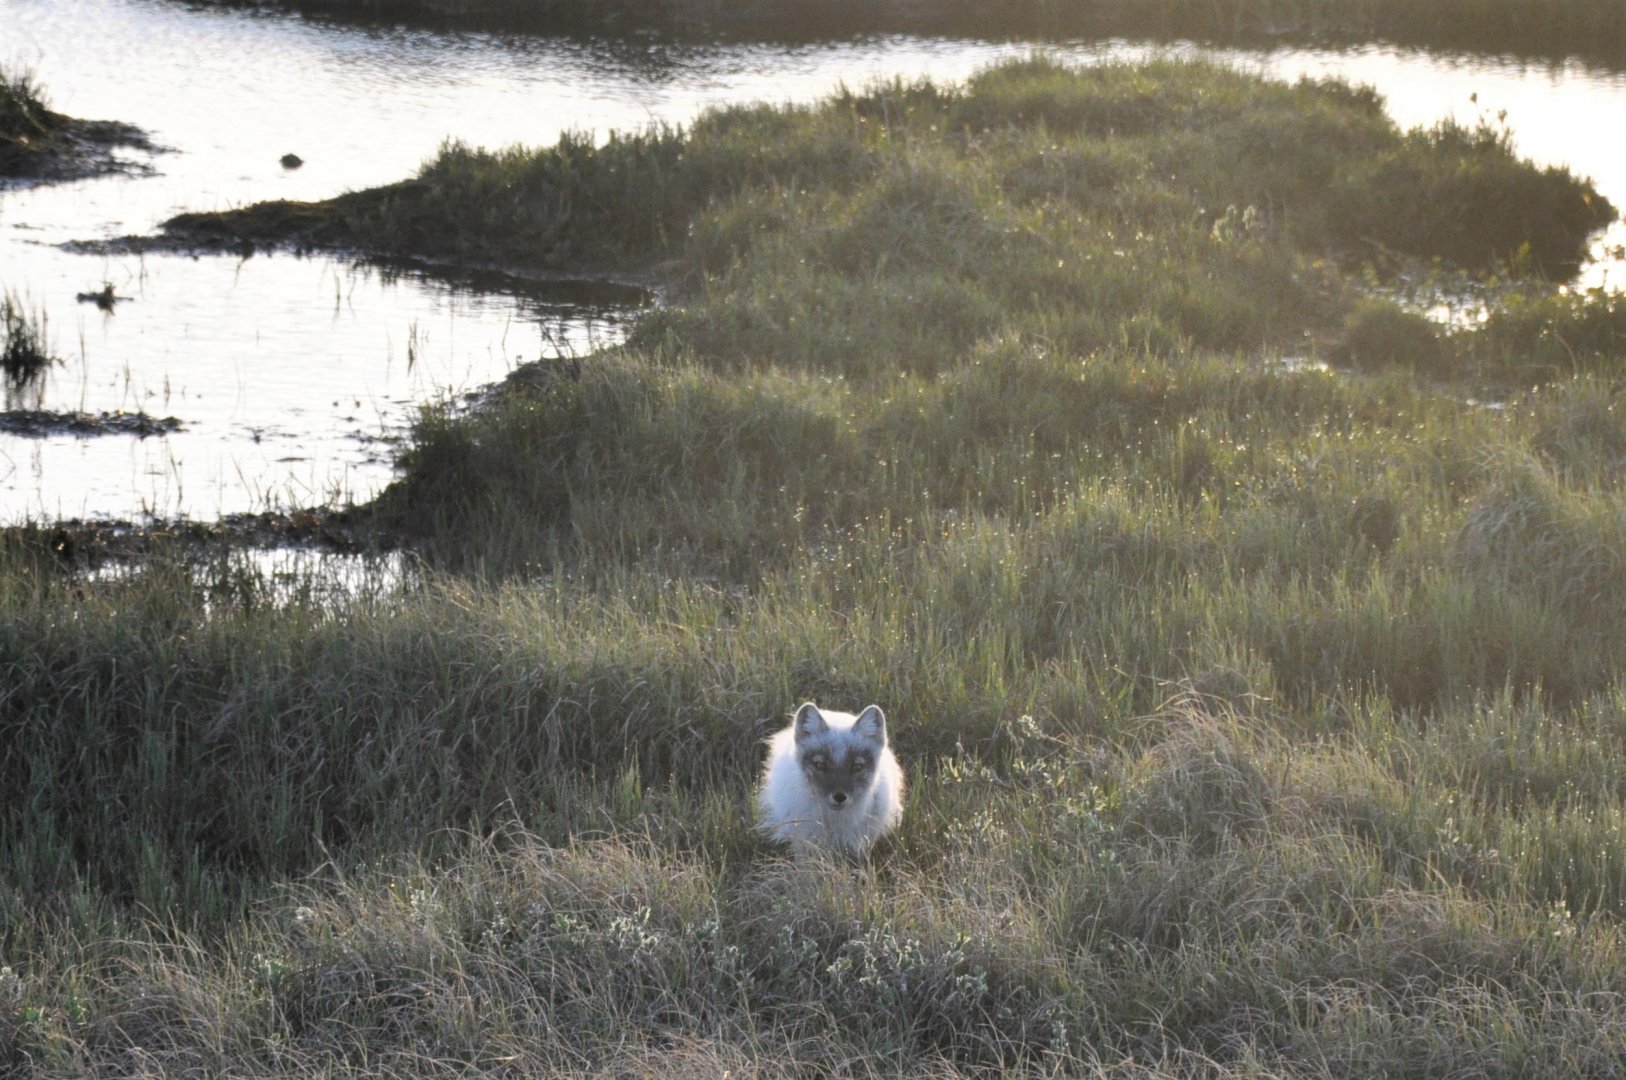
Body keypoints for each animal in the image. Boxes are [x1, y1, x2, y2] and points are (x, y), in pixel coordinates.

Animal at [756, 702, 905, 857]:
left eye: (857, 767)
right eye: (820, 765)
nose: (839, 797)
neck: (834, 819)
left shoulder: (862, 842)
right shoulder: (803, 841)